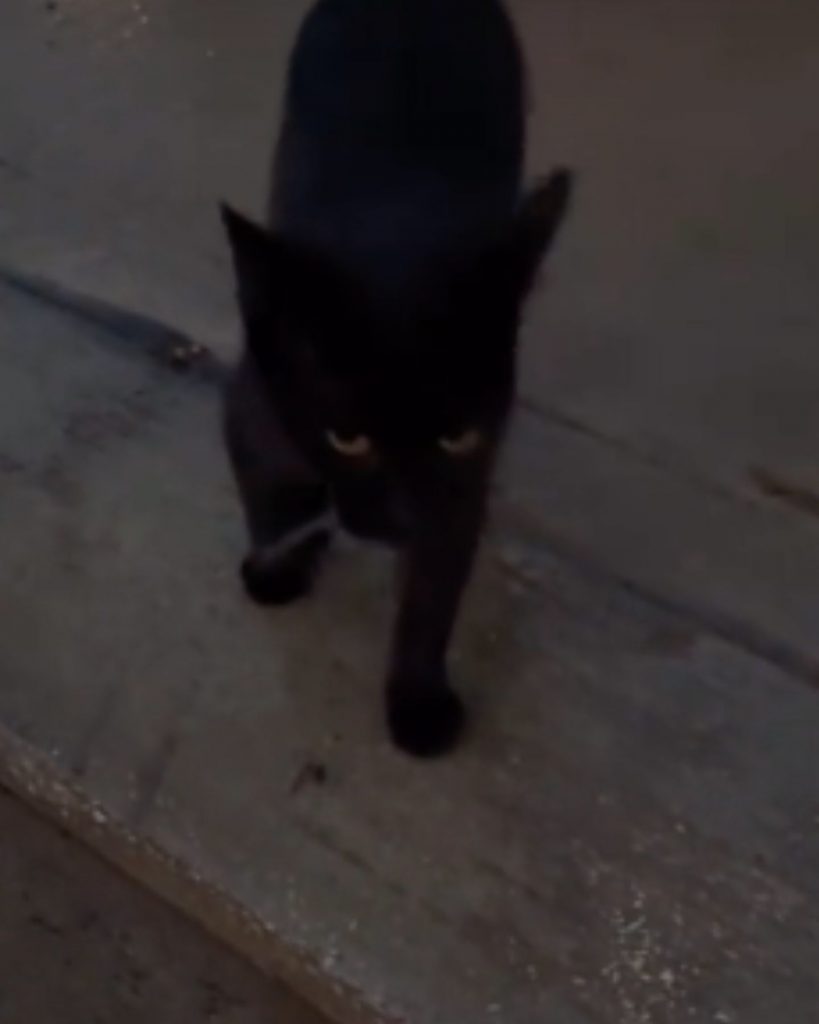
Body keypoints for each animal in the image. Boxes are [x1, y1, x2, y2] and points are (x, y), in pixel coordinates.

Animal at [221, 0, 573, 753]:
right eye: (348, 438)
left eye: (457, 436)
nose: (406, 516)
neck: (395, 237)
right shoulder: (250, 410)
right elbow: (266, 498)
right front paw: (276, 568)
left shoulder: (464, 485)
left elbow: (431, 598)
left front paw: (417, 703)